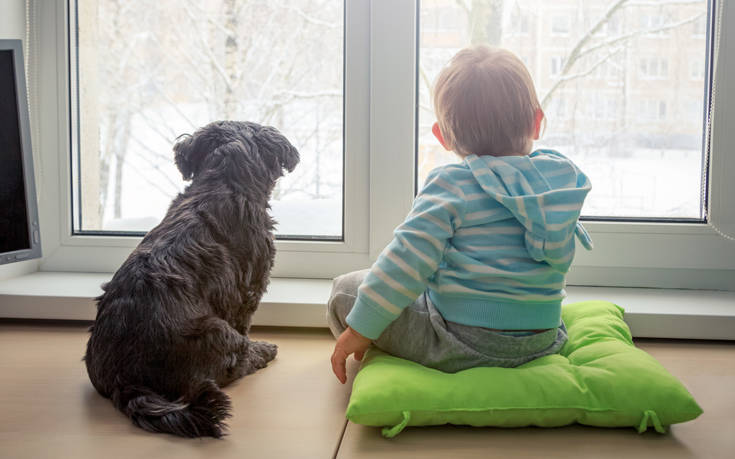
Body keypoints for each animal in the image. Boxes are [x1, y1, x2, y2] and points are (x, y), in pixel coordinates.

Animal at [85, 121, 302, 438]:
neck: (221, 182)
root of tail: (123, 380)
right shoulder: (247, 291)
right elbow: (245, 325)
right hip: (216, 331)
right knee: (236, 360)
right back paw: (263, 351)